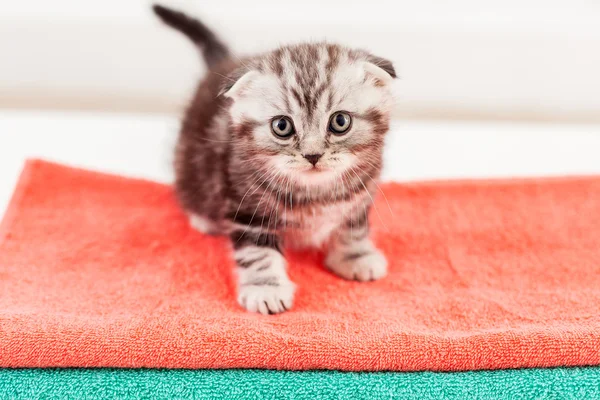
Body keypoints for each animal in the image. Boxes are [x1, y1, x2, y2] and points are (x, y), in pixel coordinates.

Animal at [152, 4, 396, 314]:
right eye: (282, 126)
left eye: (340, 121)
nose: (313, 155)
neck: (315, 194)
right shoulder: (246, 207)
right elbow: (258, 251)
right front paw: (265, 287)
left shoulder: (361, 193)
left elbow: (353, 225)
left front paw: (356, 256)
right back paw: (204, 219)